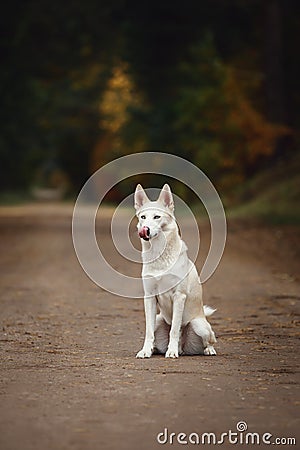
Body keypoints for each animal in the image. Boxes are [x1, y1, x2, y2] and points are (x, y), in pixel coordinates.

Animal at [134, 184, 216, 358]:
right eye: (143, 217)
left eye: (157, 217)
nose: (145, 229)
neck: (159, 255)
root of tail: (183, 348)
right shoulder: (149, 297)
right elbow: (148, 331)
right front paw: (145, 351)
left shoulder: (179, 296)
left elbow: (174, 330)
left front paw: (171, 352)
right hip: (159, 319)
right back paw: (155, 349)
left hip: (199, 325)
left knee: (210, 340)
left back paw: (205, 350)